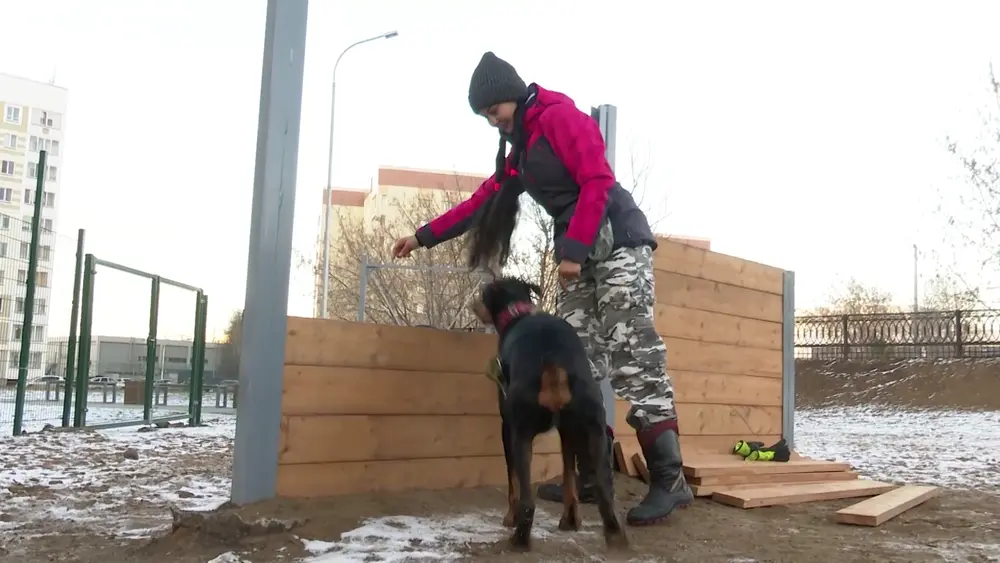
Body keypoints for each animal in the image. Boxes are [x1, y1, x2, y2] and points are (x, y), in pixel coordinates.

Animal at [472, 276, 628, 552]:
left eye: (484, 294)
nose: (473, 304)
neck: (517, 313)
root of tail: (554, 360)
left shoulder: (507, 428)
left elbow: (512, 482)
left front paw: (509, 518)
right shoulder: (567, 433)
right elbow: (568, 477)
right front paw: (571, 520)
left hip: (522, 435)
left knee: (527, 500)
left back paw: (519, 539)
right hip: (593, 431)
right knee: (604, 491)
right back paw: (614, 536)